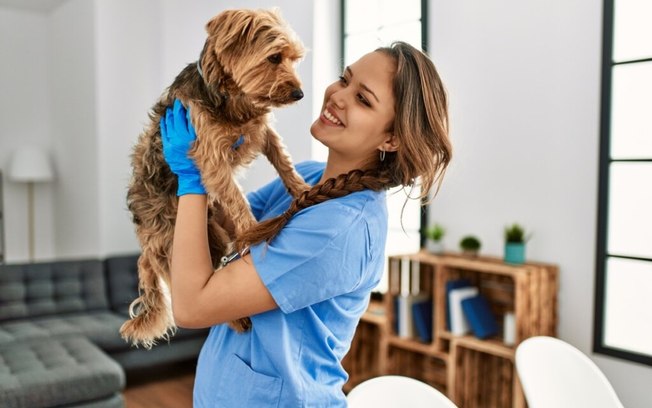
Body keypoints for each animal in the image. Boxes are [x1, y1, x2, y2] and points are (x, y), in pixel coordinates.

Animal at [123, 8, 310, 348]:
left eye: (294, 58)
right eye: (275, 57)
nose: (299, 93)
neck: (234, 97)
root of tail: (145, 243)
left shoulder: (261, 130)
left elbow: (283, 159)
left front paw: (302, 189)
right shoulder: (210, 155)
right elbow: (235, 196)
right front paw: (253, 230)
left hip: (215, 231)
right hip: (180, 243)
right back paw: (238, 319)